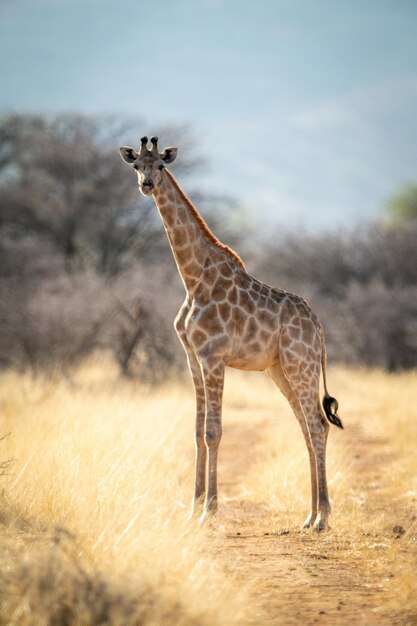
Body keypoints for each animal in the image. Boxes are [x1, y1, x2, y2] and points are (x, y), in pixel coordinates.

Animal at [120, 134, 342, 528]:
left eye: (160, 165)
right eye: (136, 165)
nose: (147, 185)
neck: (193, 278)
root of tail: (317, 325)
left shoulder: (214, 357)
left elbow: (214, 431)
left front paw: (209, 509)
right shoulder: (192, 358)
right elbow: (196, 430)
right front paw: (193, 506)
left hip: (301, 364)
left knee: (317, 424)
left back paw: (323, 518)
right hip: (280, 369)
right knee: (306, 425)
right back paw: (309, 514)